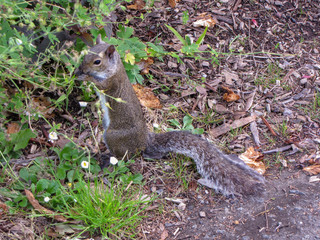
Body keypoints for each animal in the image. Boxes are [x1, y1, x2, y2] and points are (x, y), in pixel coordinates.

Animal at [75, 35, 264, 197]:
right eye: (86, 53)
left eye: (97, 61)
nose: (81, 69)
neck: (115, 67)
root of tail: (145, 141)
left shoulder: (111, 82)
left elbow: (100, 84)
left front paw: (84, 77)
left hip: (113, 136)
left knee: (125, 158)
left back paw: (108, 161)